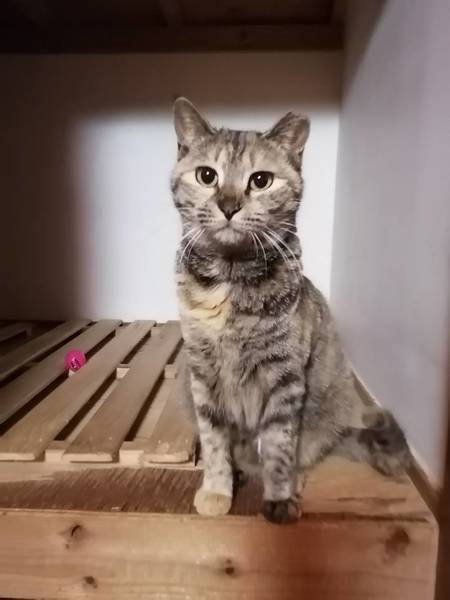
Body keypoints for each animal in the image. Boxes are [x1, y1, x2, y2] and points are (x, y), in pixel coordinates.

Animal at [171, 97, 411, 524]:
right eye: (206, 175)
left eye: (260, 180)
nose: (228, 205)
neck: (230, 280)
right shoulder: (202, 373)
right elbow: (215, 440)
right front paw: (216, 489)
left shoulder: (284, 377)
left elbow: (280, 445)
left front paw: (279, 497)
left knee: (304, 451)